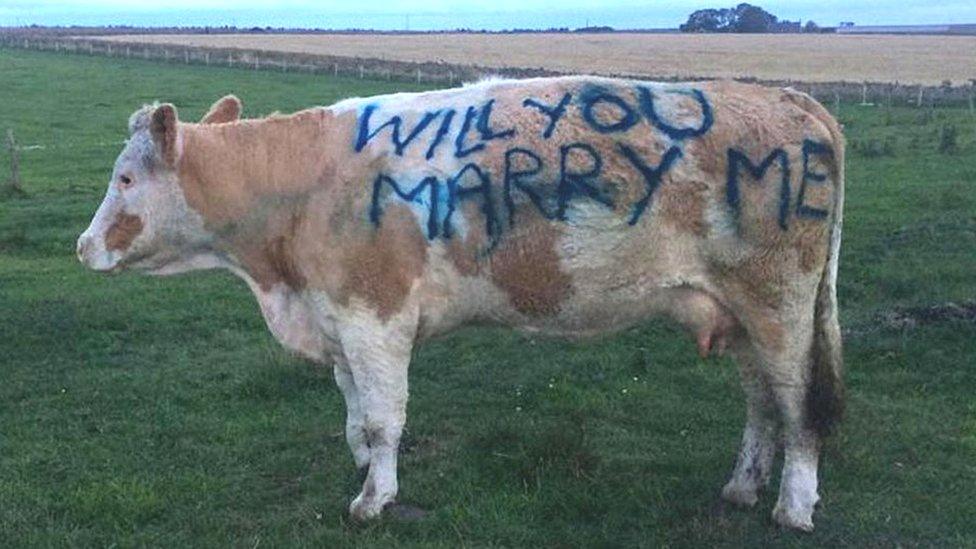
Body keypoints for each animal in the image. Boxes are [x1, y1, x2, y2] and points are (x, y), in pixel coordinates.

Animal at [76, 77, 844, 532]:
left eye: (125, 177)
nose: (83, 246)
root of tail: (789, 98)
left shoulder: (375, 315)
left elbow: (382, 417)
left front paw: (373, 499)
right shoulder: (337, 320)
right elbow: (353, 413)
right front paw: (364, 467)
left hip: (781, 304)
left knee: (797, 404)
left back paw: (792, 505)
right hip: (737, 311)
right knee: (760, 403)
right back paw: (742, 487)